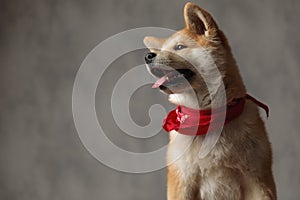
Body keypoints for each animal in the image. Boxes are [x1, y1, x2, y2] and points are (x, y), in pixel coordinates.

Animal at [143, 1, 276, 200]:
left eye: (179, 47)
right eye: (161, 49)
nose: (148, 56)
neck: (208, 117)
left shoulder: (258, 180)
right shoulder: (182, 182)